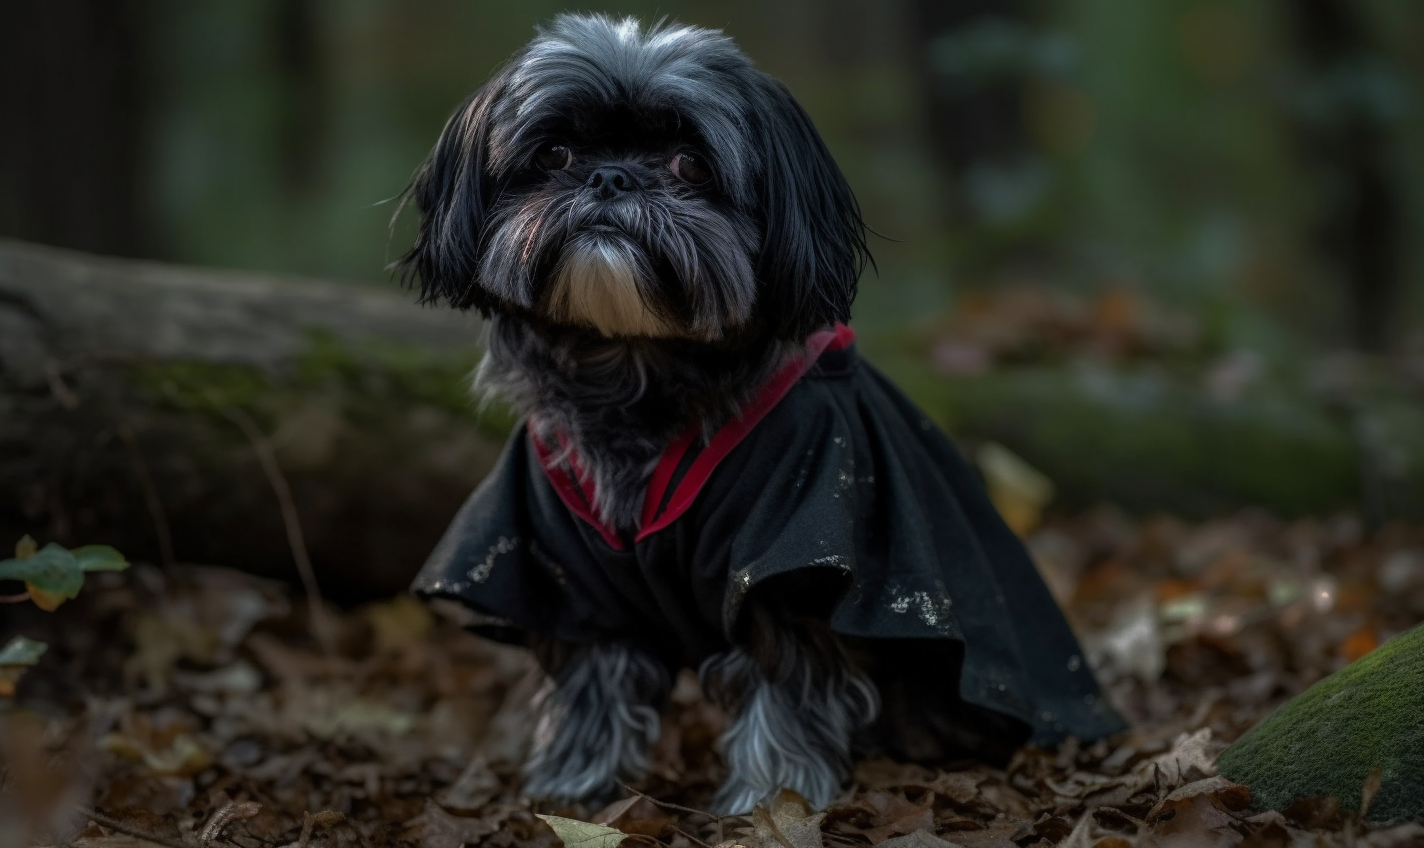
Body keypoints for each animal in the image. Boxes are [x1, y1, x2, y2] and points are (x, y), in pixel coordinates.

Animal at [398, 11, 1122, 808]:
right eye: (555, 152)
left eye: (688, 163)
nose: (610, 176)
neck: (640, 367)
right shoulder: (570, 572)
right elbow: (592, 687)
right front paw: (573, 788)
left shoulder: (789, 563)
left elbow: (786, 690)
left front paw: (770, 801)